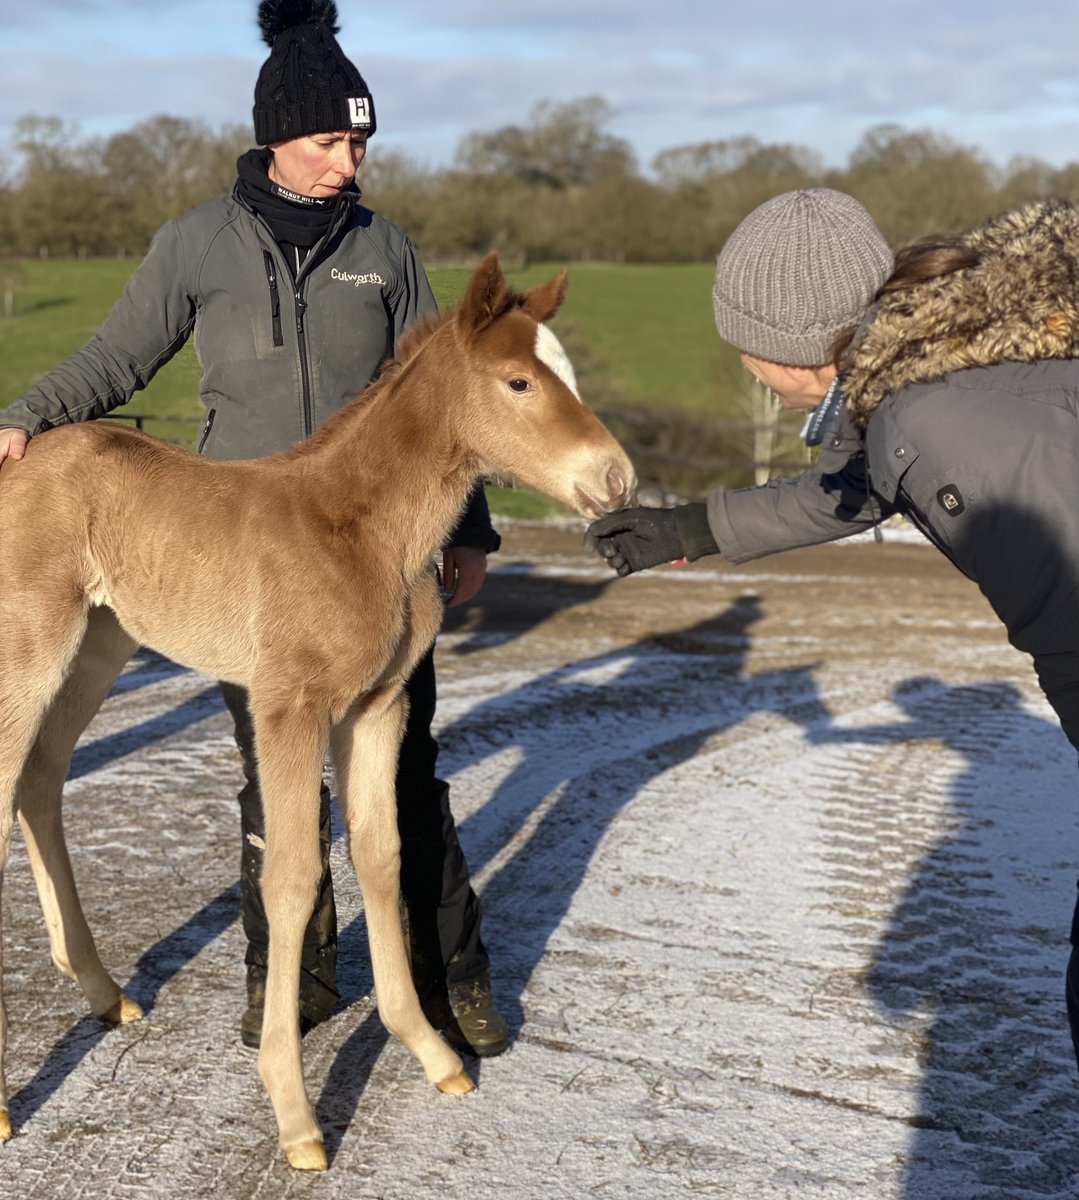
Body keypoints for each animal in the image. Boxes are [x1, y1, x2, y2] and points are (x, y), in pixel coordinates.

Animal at [0, 255, 633, 1171]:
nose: (616, 478)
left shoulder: (375, 708)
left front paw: (433, 1050)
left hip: (99, 645)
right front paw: (295, 1114)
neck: (361, 531)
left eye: (569, 373)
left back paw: (104, 992)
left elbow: (382, 855)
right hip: (31, 647)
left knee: (40, 780)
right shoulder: (290, 707)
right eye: (518, 381)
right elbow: (293, 876)